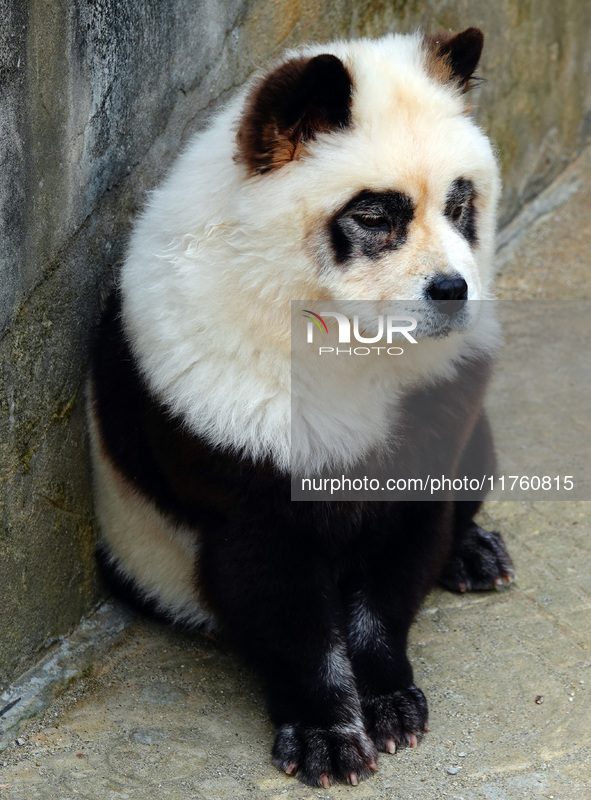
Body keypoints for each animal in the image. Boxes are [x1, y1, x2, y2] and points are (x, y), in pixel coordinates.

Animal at [86, 26, 512, 788]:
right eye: (372, 218)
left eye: (459, 205)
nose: (450, 291)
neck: (348, 334)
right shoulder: (220, 406)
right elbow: (275, 590)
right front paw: (327, 735)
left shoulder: (432, 392)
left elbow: (401, 552)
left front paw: (388, 699)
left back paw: (474, 553)